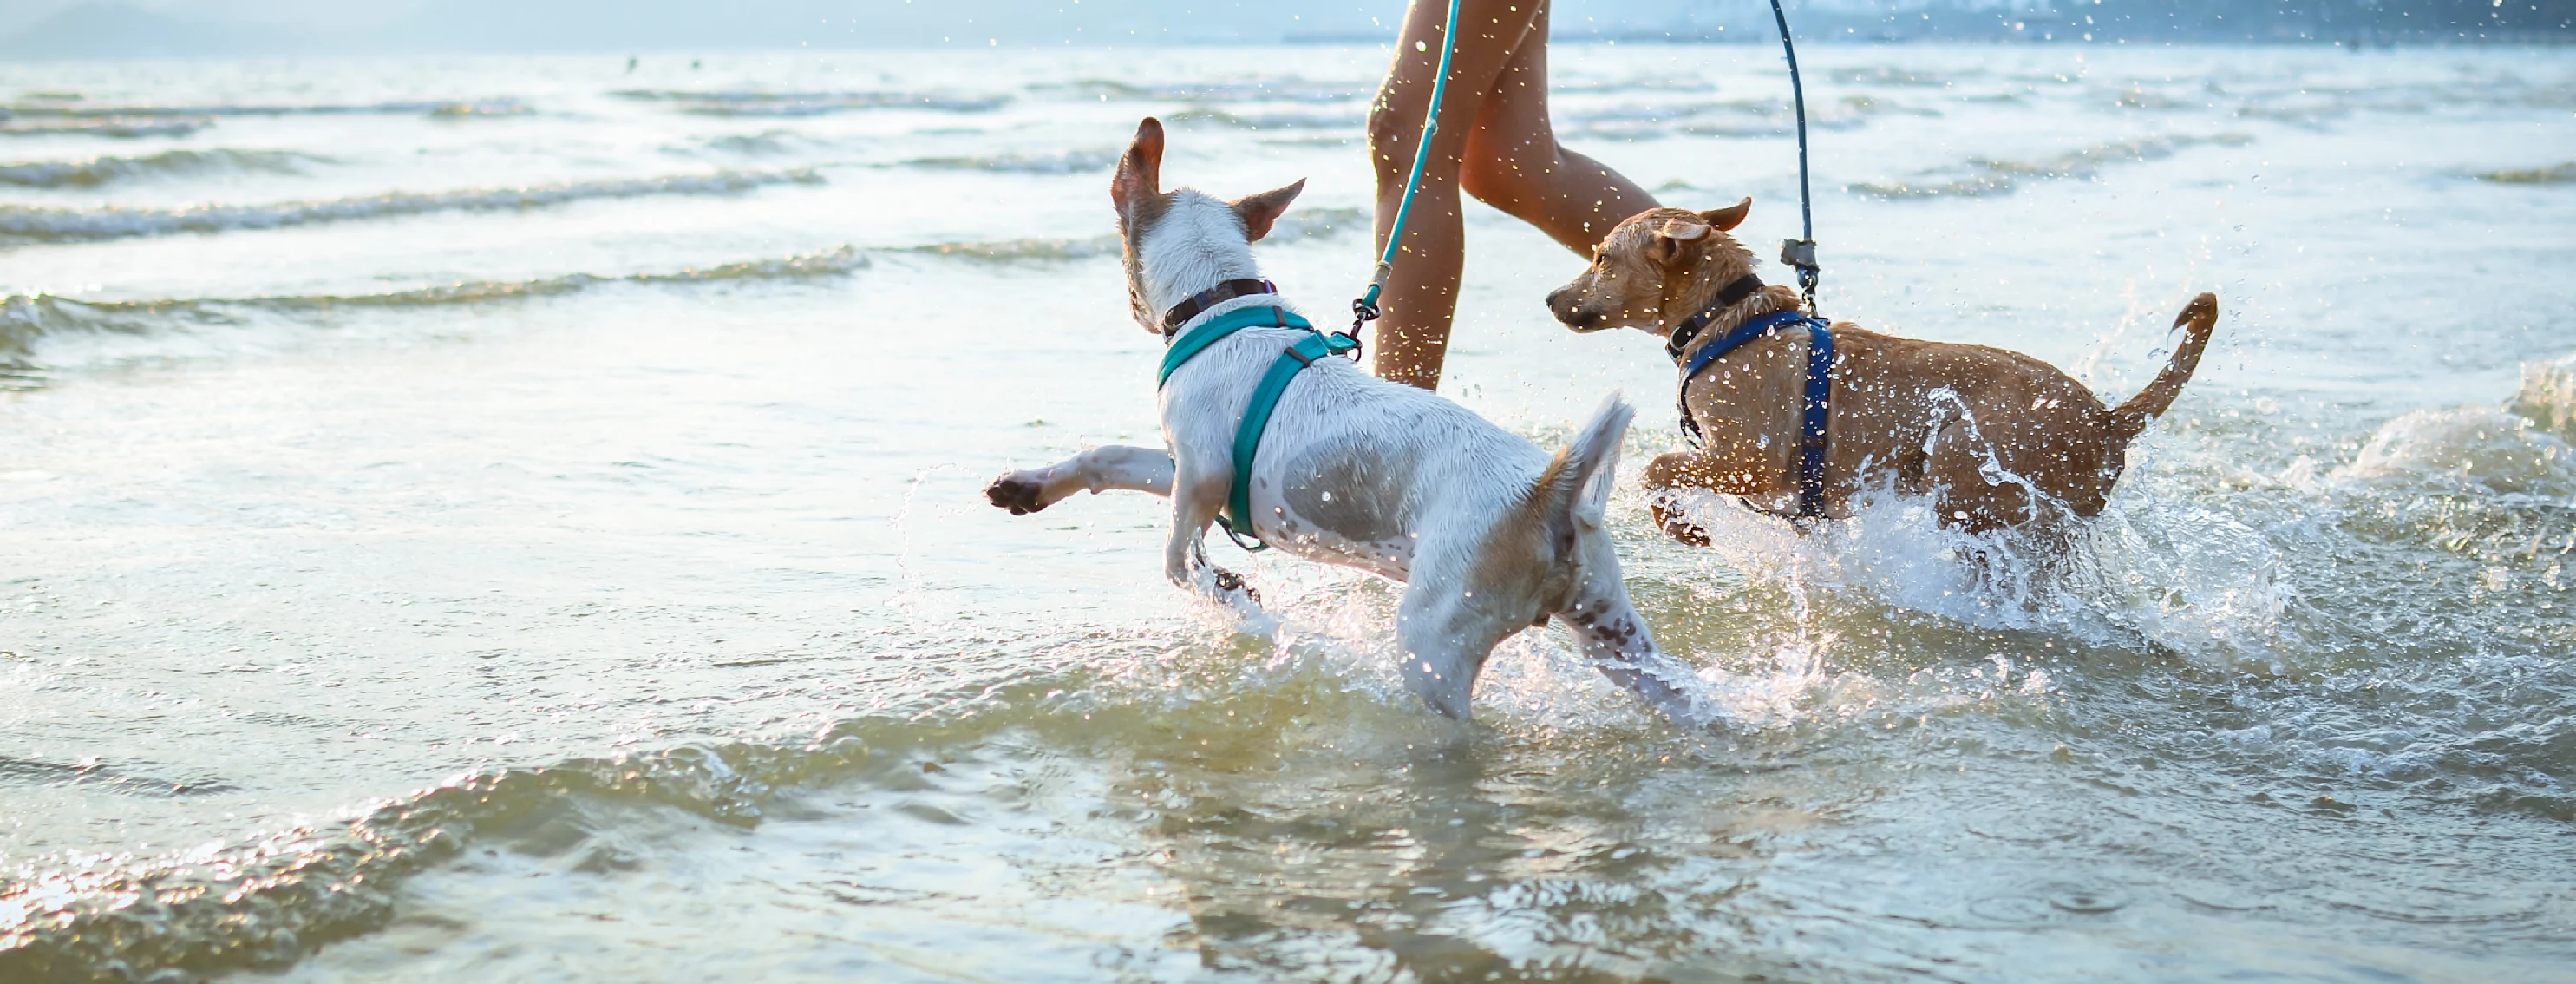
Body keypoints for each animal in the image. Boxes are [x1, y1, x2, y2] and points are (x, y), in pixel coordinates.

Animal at [984, 119, 1710, 726]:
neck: (1222, 304)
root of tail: (1548, 493)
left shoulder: (1203, 473)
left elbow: (1176, 557)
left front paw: (1230, 597)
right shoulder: (1186, 465)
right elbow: (1107, 459)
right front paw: (1030, 487)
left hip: (1436, 643)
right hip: (1616, 637)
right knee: (1684, 696)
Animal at [1546, 195, 2215, 538]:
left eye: (1602, 258)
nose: (1551, 298)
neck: (1726, 321)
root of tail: (2108, 420)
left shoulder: (1746, 460)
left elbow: (1659, 467)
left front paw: (1681, 526)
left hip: (1963, 458)